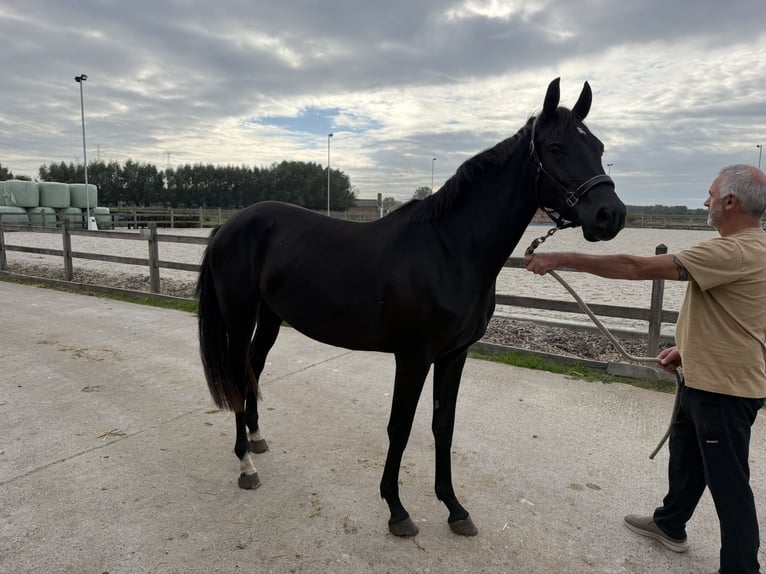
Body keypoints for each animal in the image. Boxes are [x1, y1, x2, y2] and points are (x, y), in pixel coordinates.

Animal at [196, 78, 626, 538]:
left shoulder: (454, 356)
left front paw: (455, 508)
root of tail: (228, 226)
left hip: (271, 317)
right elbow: (400, 426)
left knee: (254, 369)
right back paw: (246, 464)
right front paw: (397, 509)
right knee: (238, 376)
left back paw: (258, 439)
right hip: (240, 316)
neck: (450, 250)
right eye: (556, 147)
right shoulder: (414, 356)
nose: (611, 215)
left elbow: (444, 426)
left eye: (598, 146)